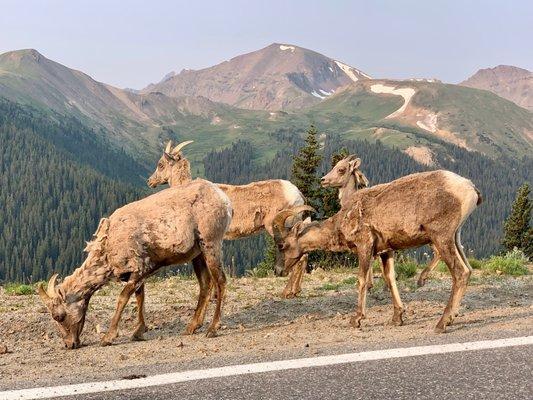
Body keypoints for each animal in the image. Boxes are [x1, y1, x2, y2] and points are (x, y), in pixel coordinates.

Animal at [38, 180, 234, 348]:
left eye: (59, 316)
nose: (70, 344)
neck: (108, 247)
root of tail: (225, 201)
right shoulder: (138, 273)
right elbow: (140, 297)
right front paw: (138, 332)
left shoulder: (137, 270)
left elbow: (123, 298)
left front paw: (108, 337)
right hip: (198, 253)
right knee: (205, 284)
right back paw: (191, 327)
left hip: (211, 243)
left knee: (221, 281)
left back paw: (212, 329)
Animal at [148, 142, 306, 298]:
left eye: (161, 164)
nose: (150, 181)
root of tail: (297, 194)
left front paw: (213, 296)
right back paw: (296, 291)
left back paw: (287, 293)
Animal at [272, 169, 480, 332]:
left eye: (282, 245)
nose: (277, 270)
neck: (342, 221)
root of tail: (470, 189)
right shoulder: (386, 251)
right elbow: (390, 279)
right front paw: (397, 318)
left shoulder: (365, 246)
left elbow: (362, 280)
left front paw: (356, 320)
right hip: (455, 237)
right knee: (468, 270)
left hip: (441, 237)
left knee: (460, 272)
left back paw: (442, 323)